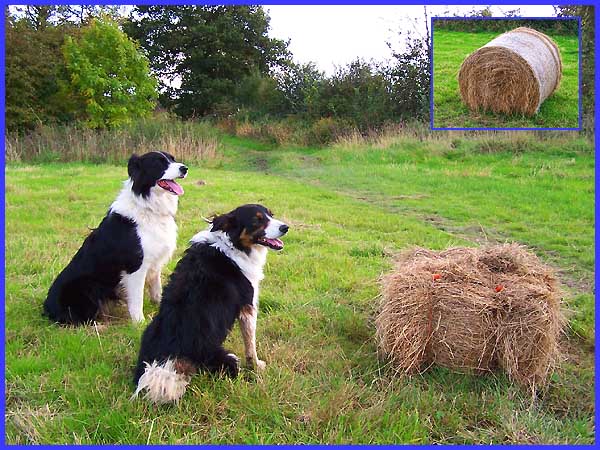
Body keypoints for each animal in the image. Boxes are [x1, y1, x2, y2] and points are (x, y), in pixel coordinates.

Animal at [42, 150, 188, 324]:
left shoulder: (155, 262)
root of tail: (46, 308)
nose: (185, 168)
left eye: (172, 159)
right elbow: (137, 299)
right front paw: (139, 323)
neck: (147, 206)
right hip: (90, 287)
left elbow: (156, 289)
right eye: (159, 163)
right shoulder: (136, 267)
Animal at [132, 204, 288, 404]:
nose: (285, 227)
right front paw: (257, 365)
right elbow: (250, 343)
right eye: (257, 220)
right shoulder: (248, 307)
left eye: (271, 215)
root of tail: (169, 361)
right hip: (228, 358)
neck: (233, 245)